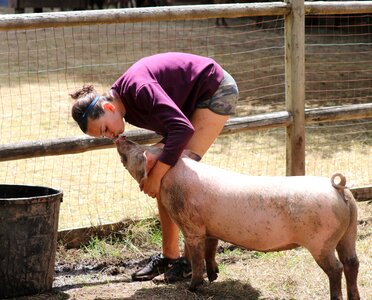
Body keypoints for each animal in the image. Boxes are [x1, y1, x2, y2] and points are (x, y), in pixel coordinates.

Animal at [115, 137, 358, 300]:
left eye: (139, 150)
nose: (121, 137)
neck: (169, 176)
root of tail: (338, 188)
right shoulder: (210, 227)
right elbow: (211, 249)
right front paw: (214, 276)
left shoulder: (192, 226)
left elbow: (196, 256)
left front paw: (193, 287)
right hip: (348, 234)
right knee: (352, 263)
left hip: (321, 242)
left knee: (336, 268)